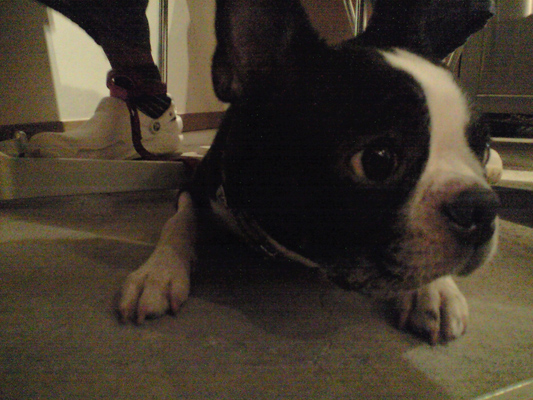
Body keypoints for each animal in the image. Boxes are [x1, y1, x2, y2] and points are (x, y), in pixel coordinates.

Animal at [118, 0, 499, 344]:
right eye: (377, 160)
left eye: (482, 146)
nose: (482, 207)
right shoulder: (194, 187)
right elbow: (177, 223)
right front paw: (158, 272)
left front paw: (435, 291)